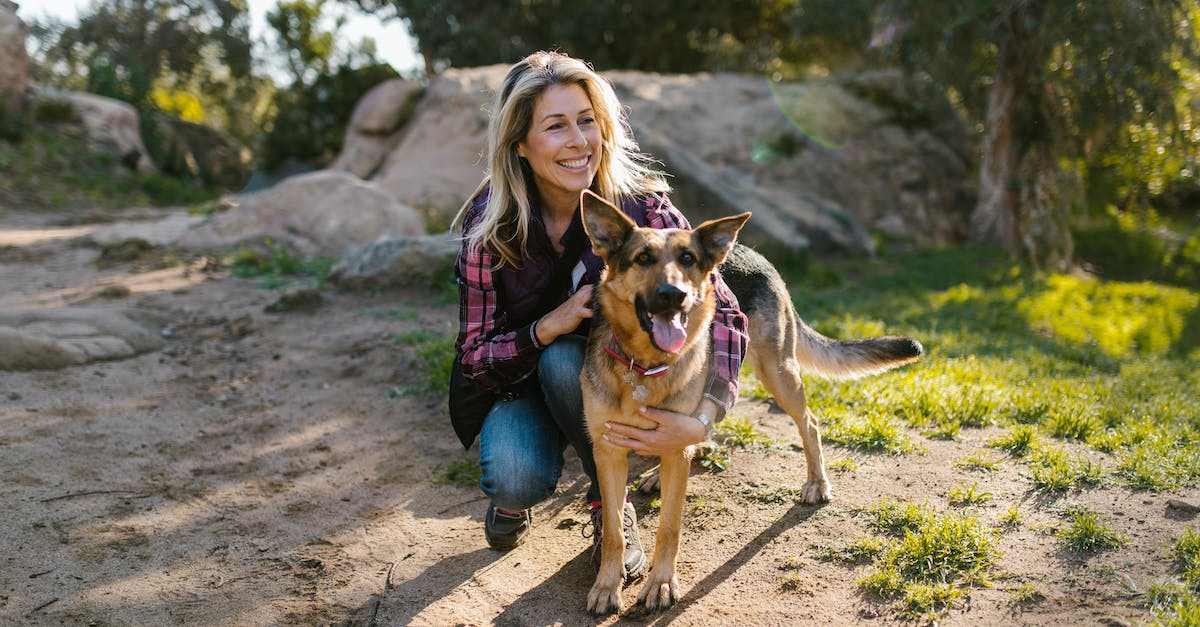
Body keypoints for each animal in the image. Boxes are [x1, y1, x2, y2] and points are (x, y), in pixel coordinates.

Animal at [576, 188, 921, 610]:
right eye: (642, 258)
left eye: (687, 259)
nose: (675, 296)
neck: (643, 365)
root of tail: (755, 254)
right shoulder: (608, 451)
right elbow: (613, 530)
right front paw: (608, 584)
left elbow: (669, 527)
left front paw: (661, 583)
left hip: (778, 372)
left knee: (809, 423)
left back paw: (817, 483)